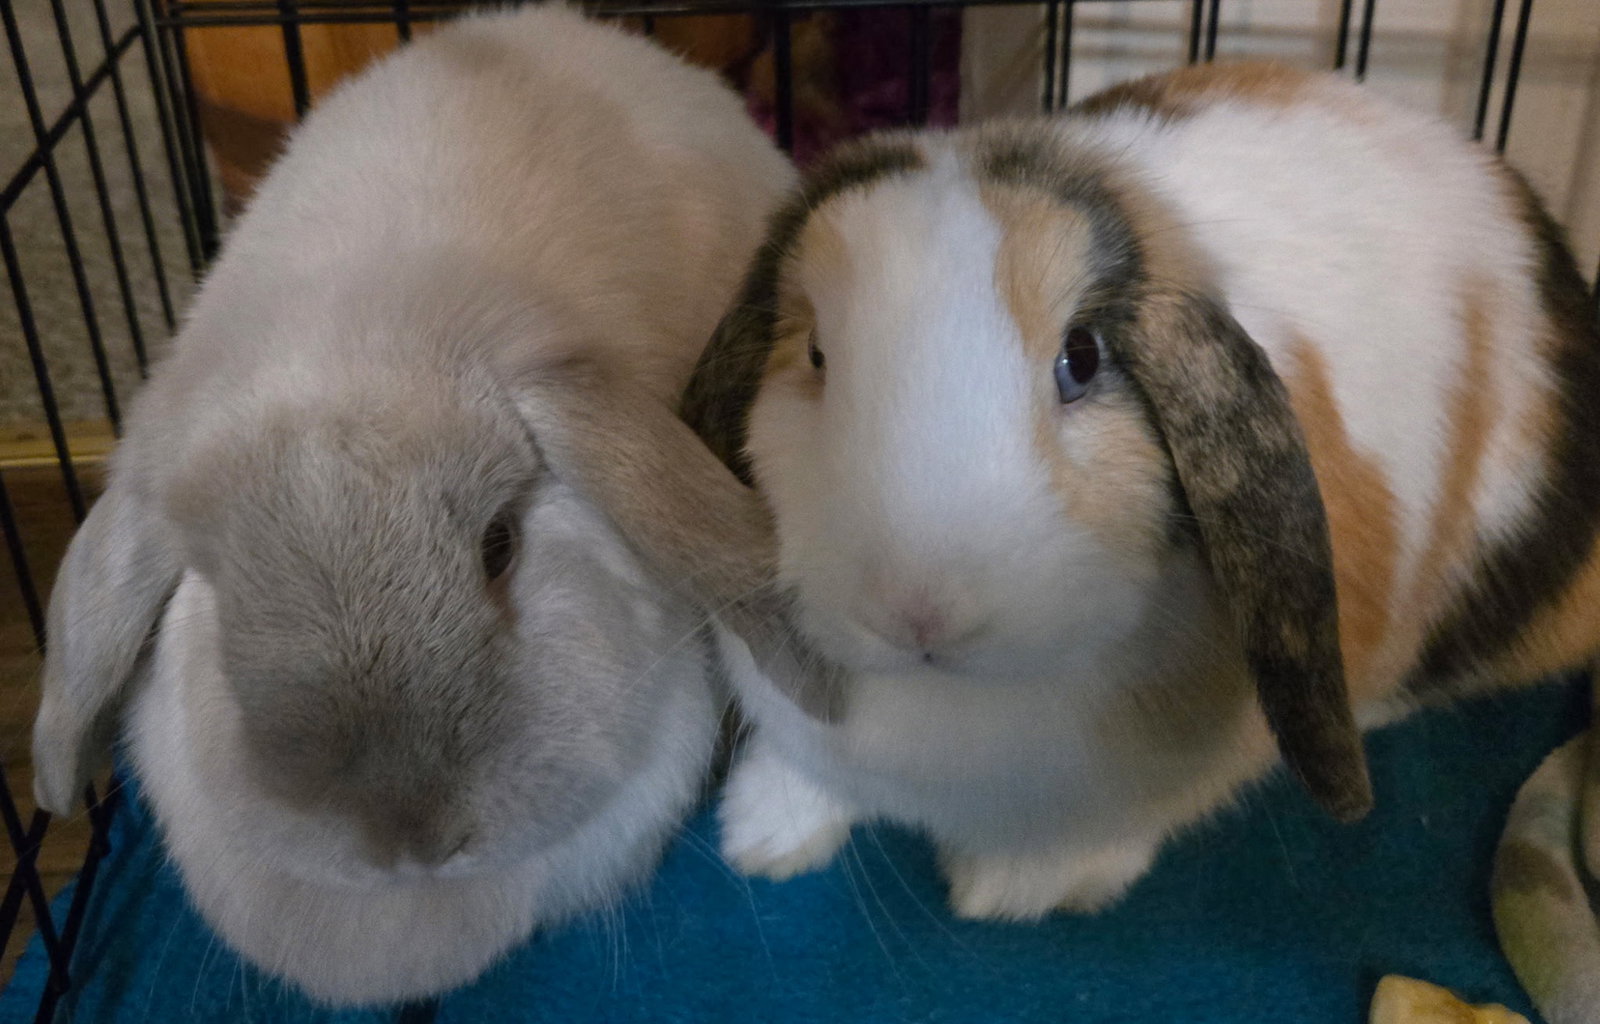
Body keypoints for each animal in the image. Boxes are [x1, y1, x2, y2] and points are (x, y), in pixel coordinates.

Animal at [528, 61, 1600, 922]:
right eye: (819, 355)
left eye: (1082, 359)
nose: (919, 612)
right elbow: (811, 773)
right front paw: (766, 836)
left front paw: (1008, 891)